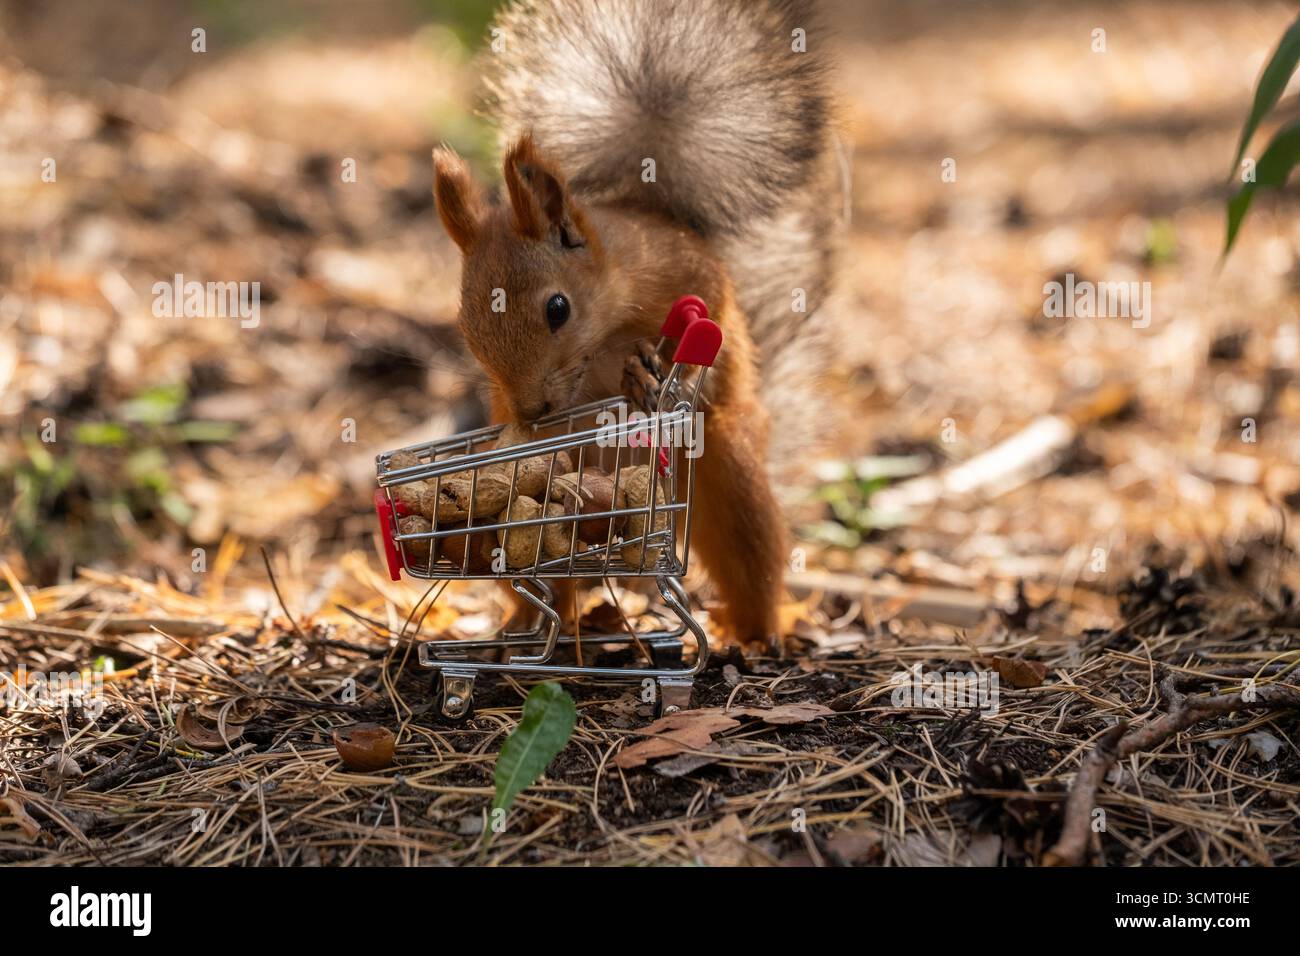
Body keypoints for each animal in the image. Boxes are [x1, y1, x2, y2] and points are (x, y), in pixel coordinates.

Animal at [431, 0, 843, 646]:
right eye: (465, 323)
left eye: (557, 308)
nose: (530, 411)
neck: (604, 330)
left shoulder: (693, 277)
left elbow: (707, 325)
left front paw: (648, 367)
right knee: (551, 584)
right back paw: (527, 625)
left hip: (731, 475)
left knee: (752, 560)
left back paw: (756, 633)